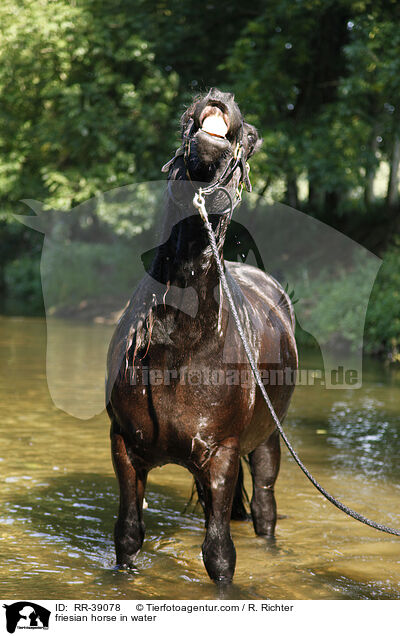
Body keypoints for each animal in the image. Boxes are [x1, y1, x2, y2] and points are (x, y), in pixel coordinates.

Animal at [105, 89, 296, 588]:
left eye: (251, 139)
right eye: (183, 121)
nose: (219, 97)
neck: (181, 347)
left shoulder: (223, 455)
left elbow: (219, 555)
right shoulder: (124, 446)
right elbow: (128, 536)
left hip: (267, 443)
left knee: (264, 509)